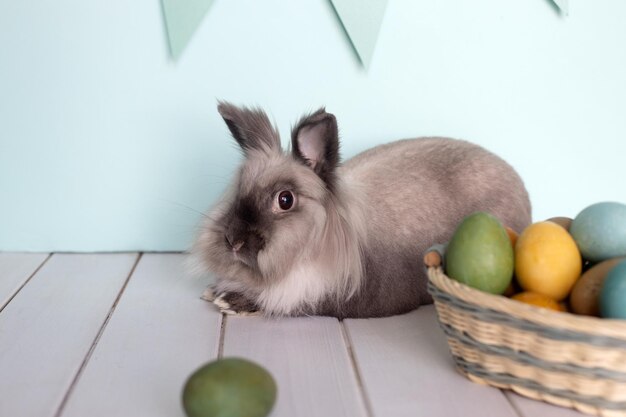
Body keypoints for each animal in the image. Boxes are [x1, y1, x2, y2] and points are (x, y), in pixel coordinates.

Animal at [191, 102, 532, 316]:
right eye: (239, 187)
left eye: (285, 200)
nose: (233, 242)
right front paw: (216, 290)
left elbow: (280, 300)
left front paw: (229, 300)